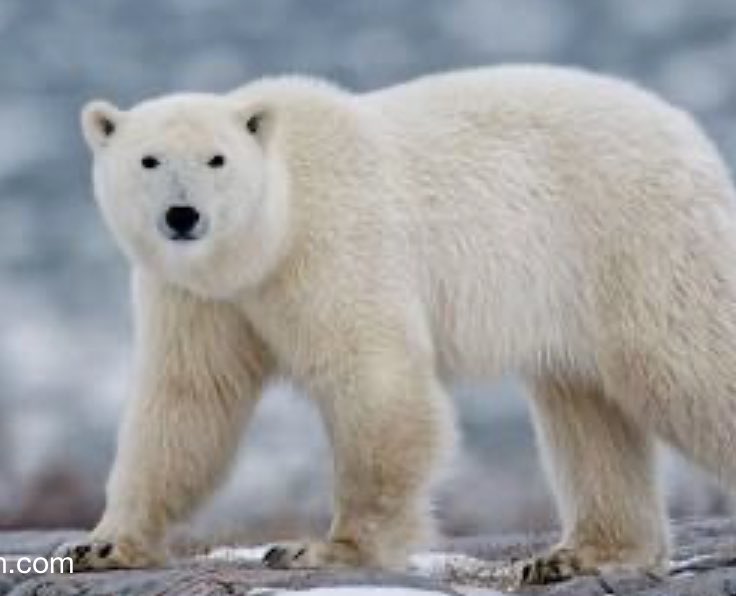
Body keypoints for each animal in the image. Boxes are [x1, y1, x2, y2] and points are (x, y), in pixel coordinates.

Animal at [56, 64, 736, 585]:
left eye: (216, 159)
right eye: (149, 160)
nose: (183, 215)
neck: (269, 235)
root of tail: (688, 134)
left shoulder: (333, 243)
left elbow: (374, 379)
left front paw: (321, 548)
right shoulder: (198, 294)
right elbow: (187, 400)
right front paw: (101, 544)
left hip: (634, 241)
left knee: (688, 366)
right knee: (585, 410)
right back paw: (577, 555)